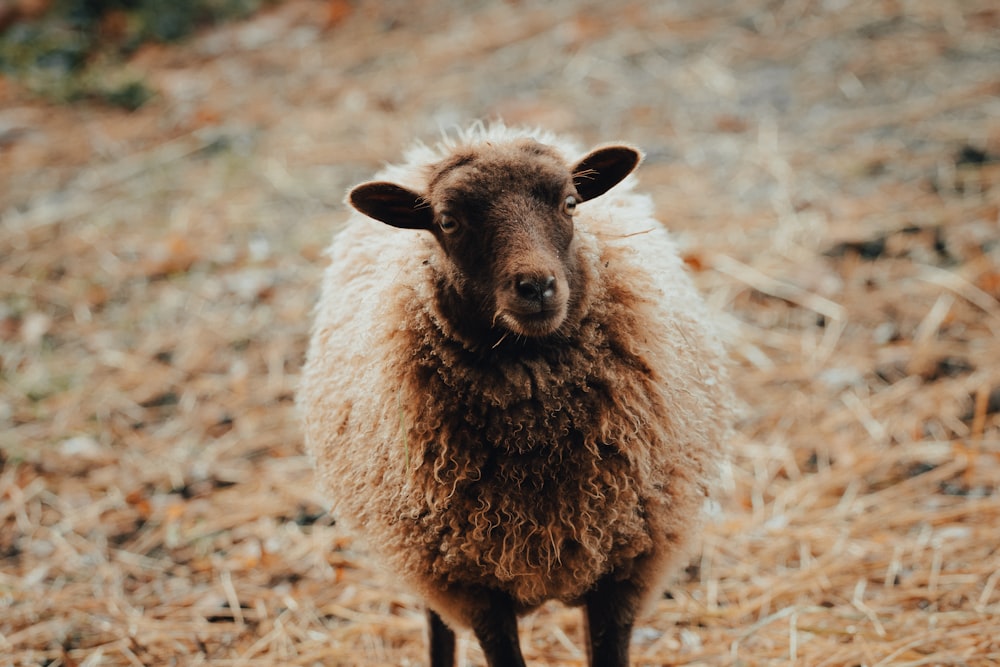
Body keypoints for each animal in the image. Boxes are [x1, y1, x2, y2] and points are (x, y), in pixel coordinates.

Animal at [298, 121, 736, 667]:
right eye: (447, 221)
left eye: (569, 202)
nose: (536, 286)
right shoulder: (471, 585)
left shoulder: (626, 565)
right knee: (436, 624)